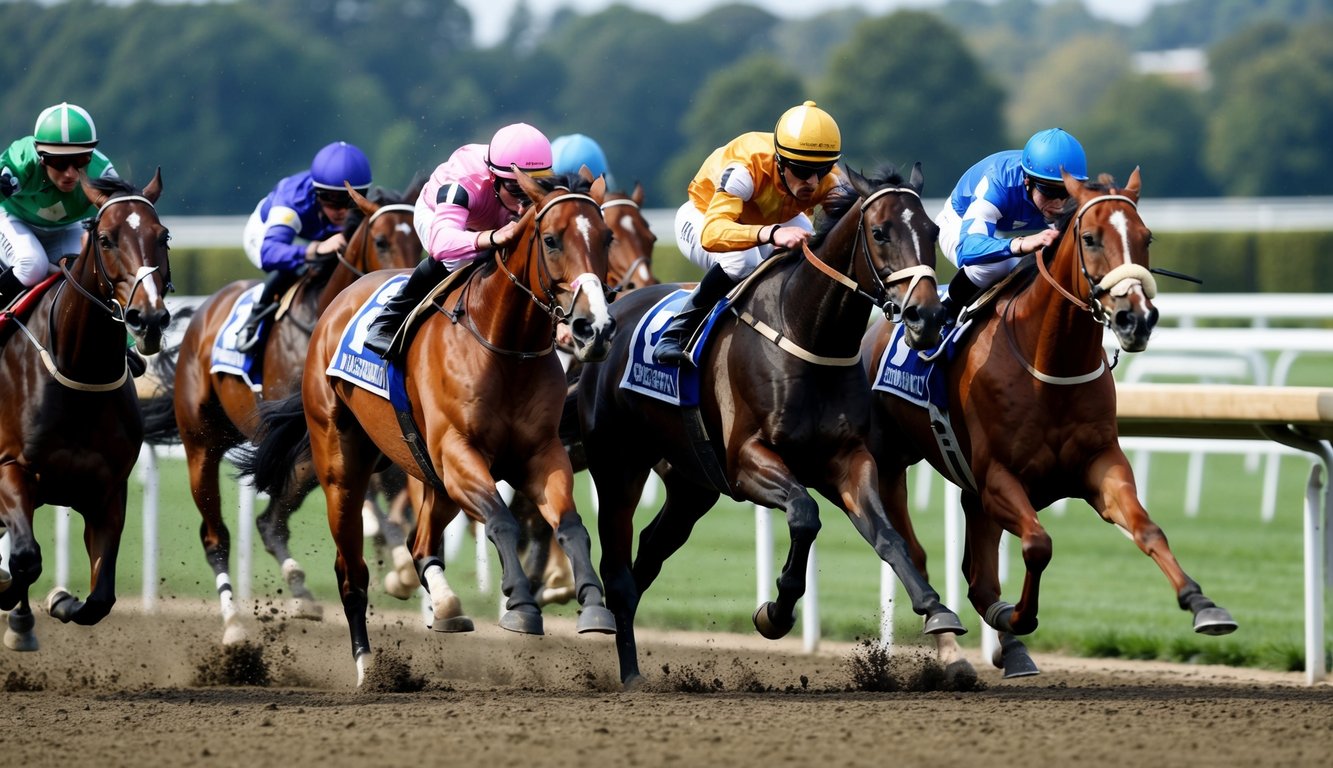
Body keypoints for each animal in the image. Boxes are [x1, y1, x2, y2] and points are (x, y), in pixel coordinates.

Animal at [0, 170, 171, 650]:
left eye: (164, 237)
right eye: (107, 239)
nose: (149, 319)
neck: (81, 372)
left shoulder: (108, 493)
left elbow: (100, 599)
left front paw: (59, 600)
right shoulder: (11, 469)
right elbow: (25, 558)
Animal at [143, 184, 418, 642]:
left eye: (419, 236)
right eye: (380, 241)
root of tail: (204, 312)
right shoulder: (321, 436)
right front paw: (397, 561)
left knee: (270, 522)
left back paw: (301, 591)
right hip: (202, 445)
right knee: (216, 536)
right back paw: (234, 624)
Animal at [245, 169, 618, 682]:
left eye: (607, 237)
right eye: (551, 240)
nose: (593, 328)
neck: (505, 346)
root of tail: (335, 306)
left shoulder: (541, 453)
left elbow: (571, 524)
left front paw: (593, 605)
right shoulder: (459, 451)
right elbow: (502, 520)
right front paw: (521, 606)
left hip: (432, 475)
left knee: (421, 542)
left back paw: (444, 605)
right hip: (342, 466)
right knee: (351, 570)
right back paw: (367, 665)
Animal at [578, 165, 965, 688]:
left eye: (933, 231)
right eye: (881, 232)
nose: (927, 315)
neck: (808, 334)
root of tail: (613, 315)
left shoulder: (849, 459)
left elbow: (889, 536)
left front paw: (935, 608)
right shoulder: (747, 461)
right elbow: (804, 514)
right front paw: (775, 613)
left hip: (692, 484)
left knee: (649, 554)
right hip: (618, 466)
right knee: (617, 568)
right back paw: (630, 670)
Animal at [863, 169, 1237, 677]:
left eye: (1146, 237)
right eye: (1090, 237)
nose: (1136, 319)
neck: (1049, 364)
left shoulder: (1100, 464)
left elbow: (1147, 529)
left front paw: (1202, 603)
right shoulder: (998, 478)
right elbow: (1038, 544)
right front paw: (1018, 617)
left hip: (970, 493)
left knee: (977, 576)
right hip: (891, 462)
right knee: (914, 552)